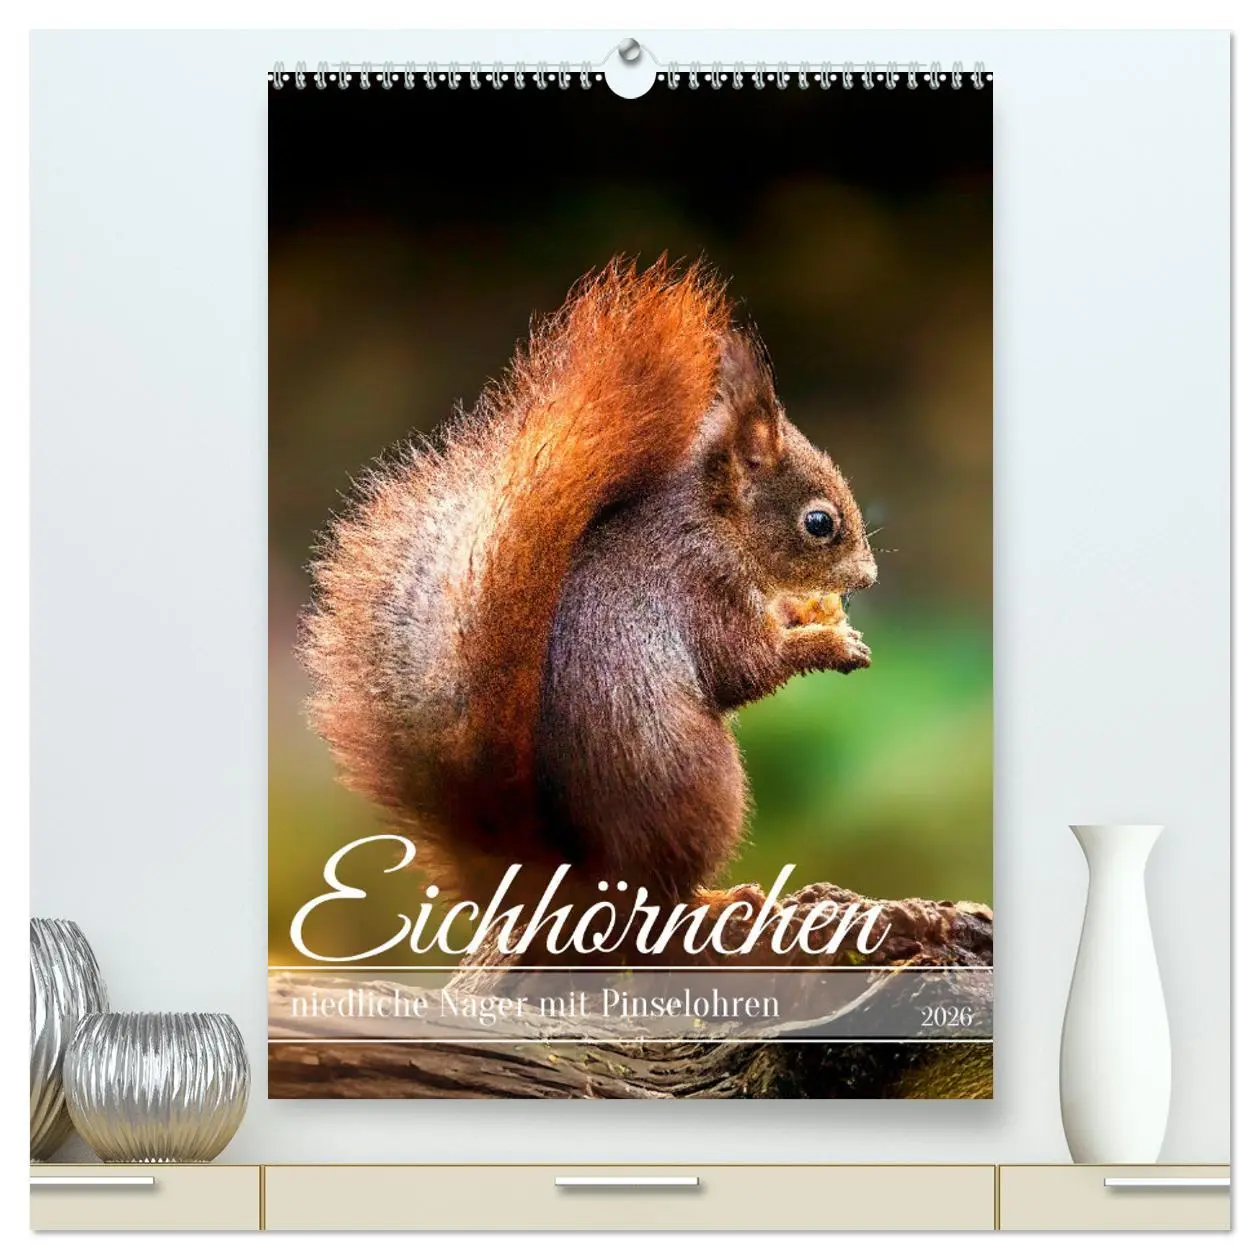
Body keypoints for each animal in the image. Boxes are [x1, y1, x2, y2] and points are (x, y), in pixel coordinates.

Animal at [301, 258, 877, 951]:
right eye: (820, 522)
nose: (868, 577)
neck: (716, 524)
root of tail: (573, 878)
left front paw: (808, 614)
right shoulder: (698, 587)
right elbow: (743, 667)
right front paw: (829, 642)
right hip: (704, 787)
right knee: (655, 899)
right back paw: (716, 901)